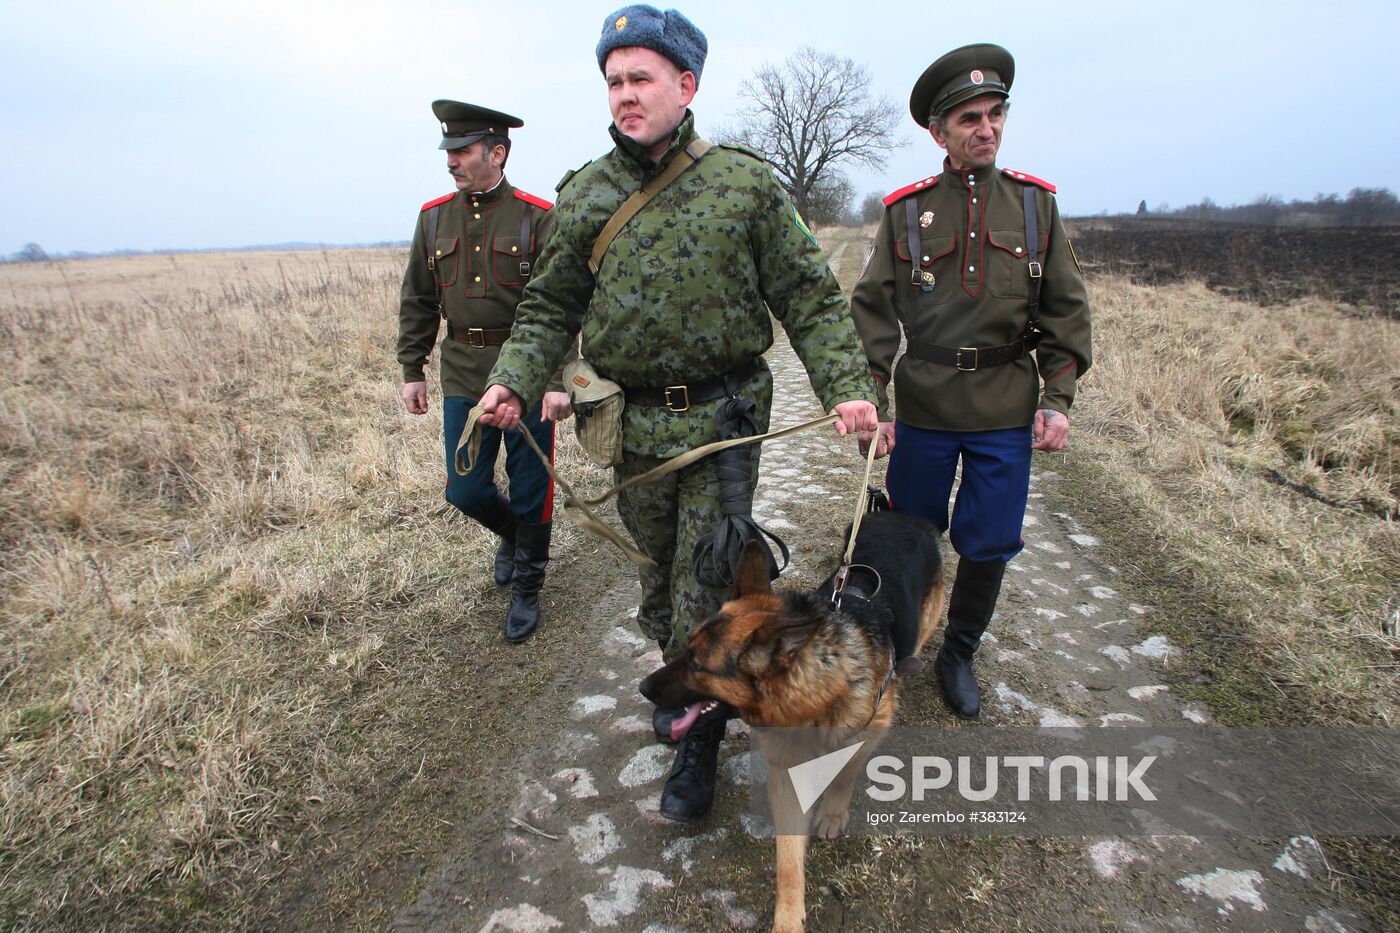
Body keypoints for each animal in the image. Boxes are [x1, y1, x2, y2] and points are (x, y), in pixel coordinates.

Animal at [641, 509, 946, 930]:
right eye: (685, 651)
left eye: (698, 666)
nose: (642, 687)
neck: (812, 697)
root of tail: (901, 516)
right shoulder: (785, 774)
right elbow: (787, 856)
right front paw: (787, 916)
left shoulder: (869, 730)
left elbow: (846, 772)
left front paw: (833, 811)